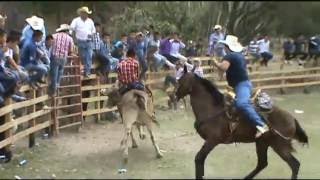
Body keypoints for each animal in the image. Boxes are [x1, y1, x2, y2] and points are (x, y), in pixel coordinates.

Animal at [176, 66, 308, 179]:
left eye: (181, 80)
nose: (175, 95)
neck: (212, 109)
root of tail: (292, 119)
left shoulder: (212, 141)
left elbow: (199, 159)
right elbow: (200, 161)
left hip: (280, 146)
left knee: (294, 165)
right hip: (262, 143)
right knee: (262, 163)